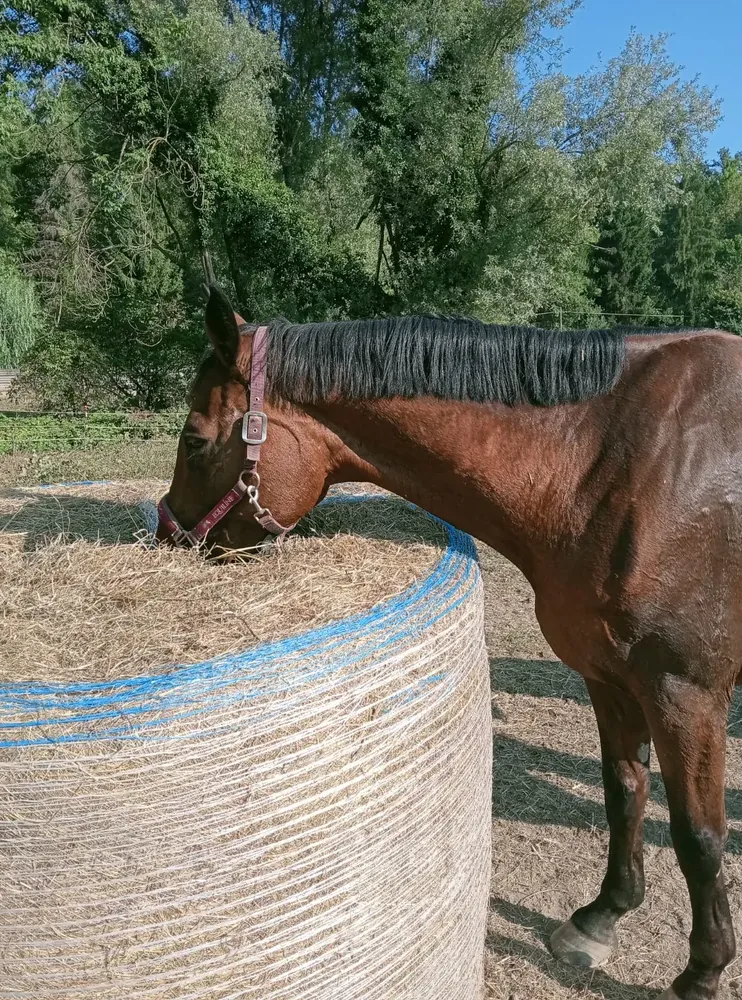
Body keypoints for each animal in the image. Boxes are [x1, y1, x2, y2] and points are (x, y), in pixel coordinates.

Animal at [159, 283, 742, 1000]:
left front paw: (703, 971)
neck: (623, 465)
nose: (165, 535)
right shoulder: (608, 678)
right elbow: (624, 790)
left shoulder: (686, 694)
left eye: (194, 439)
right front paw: (602, 916)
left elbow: (699, 836)